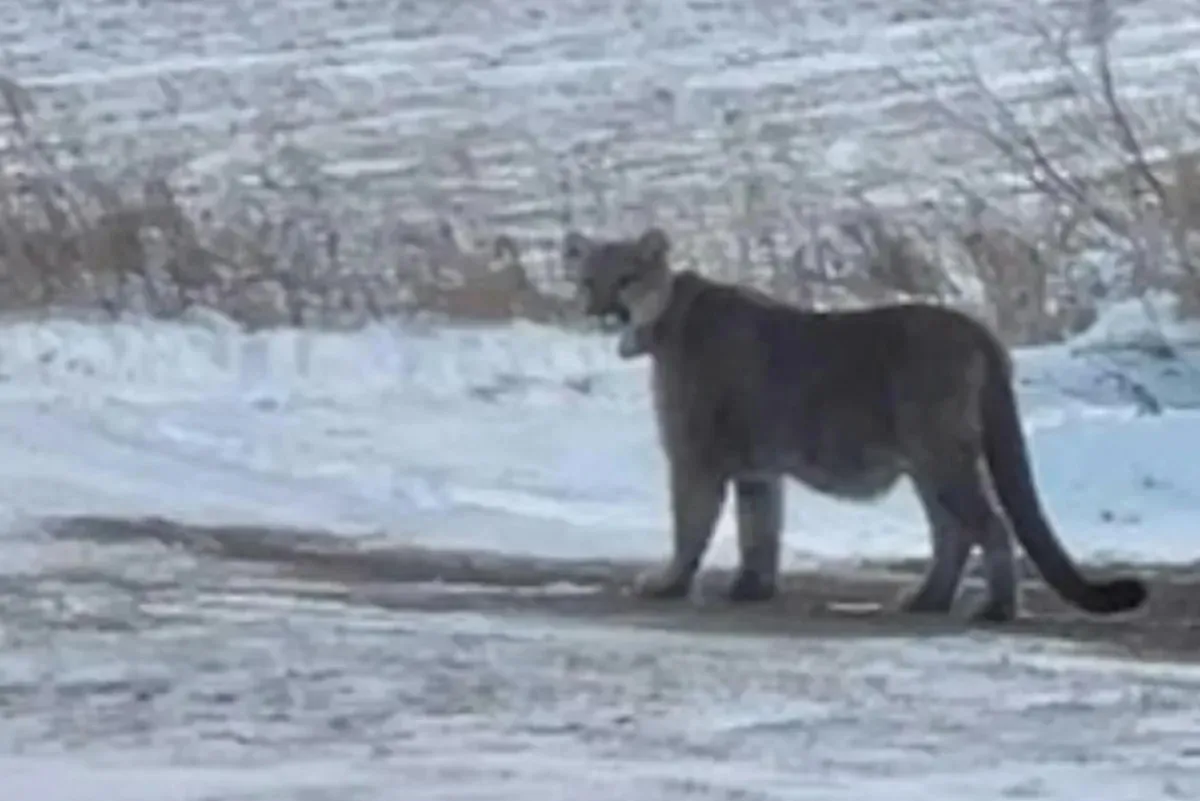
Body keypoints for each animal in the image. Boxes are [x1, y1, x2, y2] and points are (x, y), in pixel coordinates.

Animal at [562, 226, 1146, 623]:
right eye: (588, 280)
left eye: (626, 278)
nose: (598, 312)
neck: (665, 319)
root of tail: (976, 329)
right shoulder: (756, 467)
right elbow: (759, 528)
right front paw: (752, 587)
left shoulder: (694, 455)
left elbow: (690, 525)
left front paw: (666, 584)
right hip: (926, 462)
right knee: (952, 531)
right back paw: (927, 599)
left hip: (939, 453)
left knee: (987, 524)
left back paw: (993, 609)